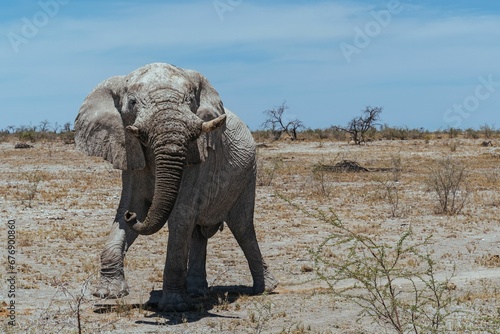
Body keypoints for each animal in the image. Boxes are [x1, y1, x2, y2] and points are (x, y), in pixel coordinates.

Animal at [74, 63, 280, 314]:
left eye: (190, 100)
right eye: (132, 102)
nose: (131, 217)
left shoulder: (197, 155)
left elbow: (179, 216)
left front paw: (174, 307)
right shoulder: (129, 154)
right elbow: (133, 210)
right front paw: (108, 294)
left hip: (248, 174)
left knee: (242, 228)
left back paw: (265, 289)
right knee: (199, 232)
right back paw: (198, 292)